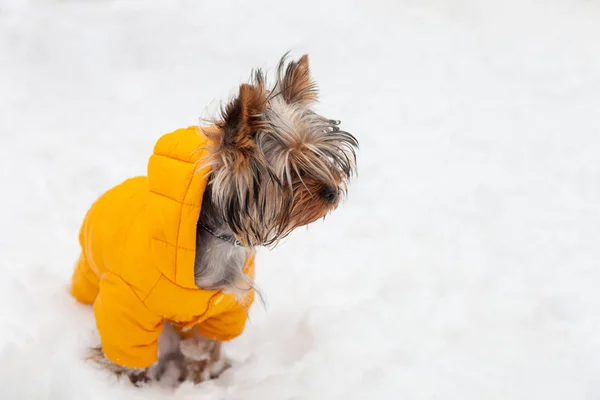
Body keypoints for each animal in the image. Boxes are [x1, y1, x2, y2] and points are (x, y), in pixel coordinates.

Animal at [72, 53, 358, 384]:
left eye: (320, 156)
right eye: (292, 170)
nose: (332, 192)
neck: (223, 238)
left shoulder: (226, 307)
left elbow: (205, 350)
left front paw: (200, 379)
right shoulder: (127, 305)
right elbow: (126, 351)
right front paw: (128, 383)